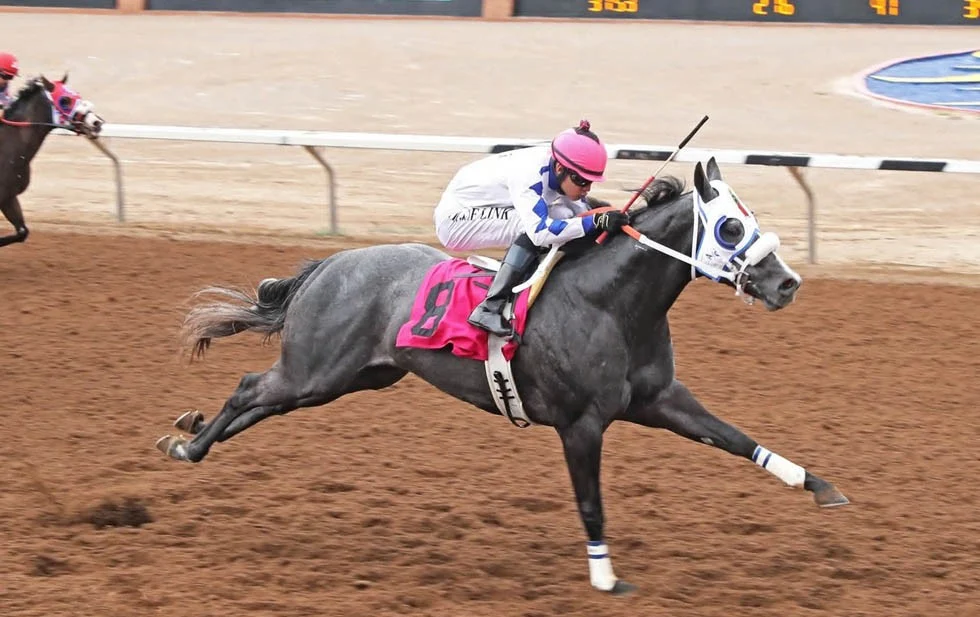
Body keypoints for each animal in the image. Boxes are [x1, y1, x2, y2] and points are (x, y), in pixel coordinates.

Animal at [155, 157, 849, 595]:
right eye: (730, 226)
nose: (787, 283)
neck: (610, 302)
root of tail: (329, 264)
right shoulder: (580, 425)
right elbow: (591, 504)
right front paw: (605, 576)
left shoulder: (660, 399)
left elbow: (735, 437)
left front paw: (817, 485)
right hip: (317, 371)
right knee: (249, 389)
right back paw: (187, 444)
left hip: (354, 377)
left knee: (260, 402)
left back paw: (188, 437)